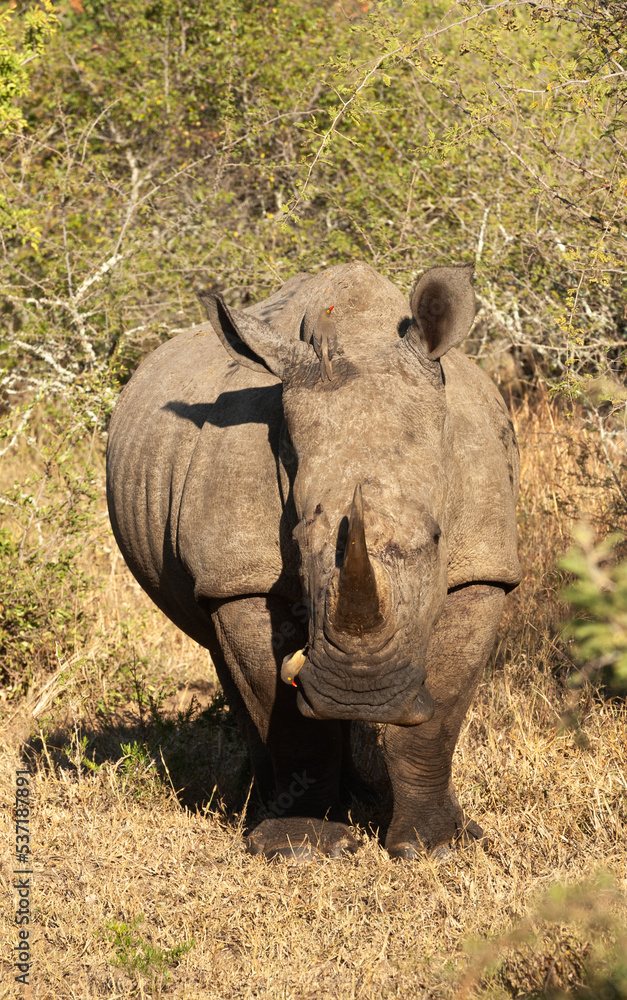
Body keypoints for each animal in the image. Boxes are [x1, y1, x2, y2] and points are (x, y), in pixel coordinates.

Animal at [106, 261, 521, 860]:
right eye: (297, 543)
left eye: (438, 538)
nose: (361, 693)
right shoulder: (241, 575)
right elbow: (283, 714)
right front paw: (299, 845)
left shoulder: (485, 567)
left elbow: (438, 716)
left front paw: (439, 846)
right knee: (221, 655)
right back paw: (260, 806)